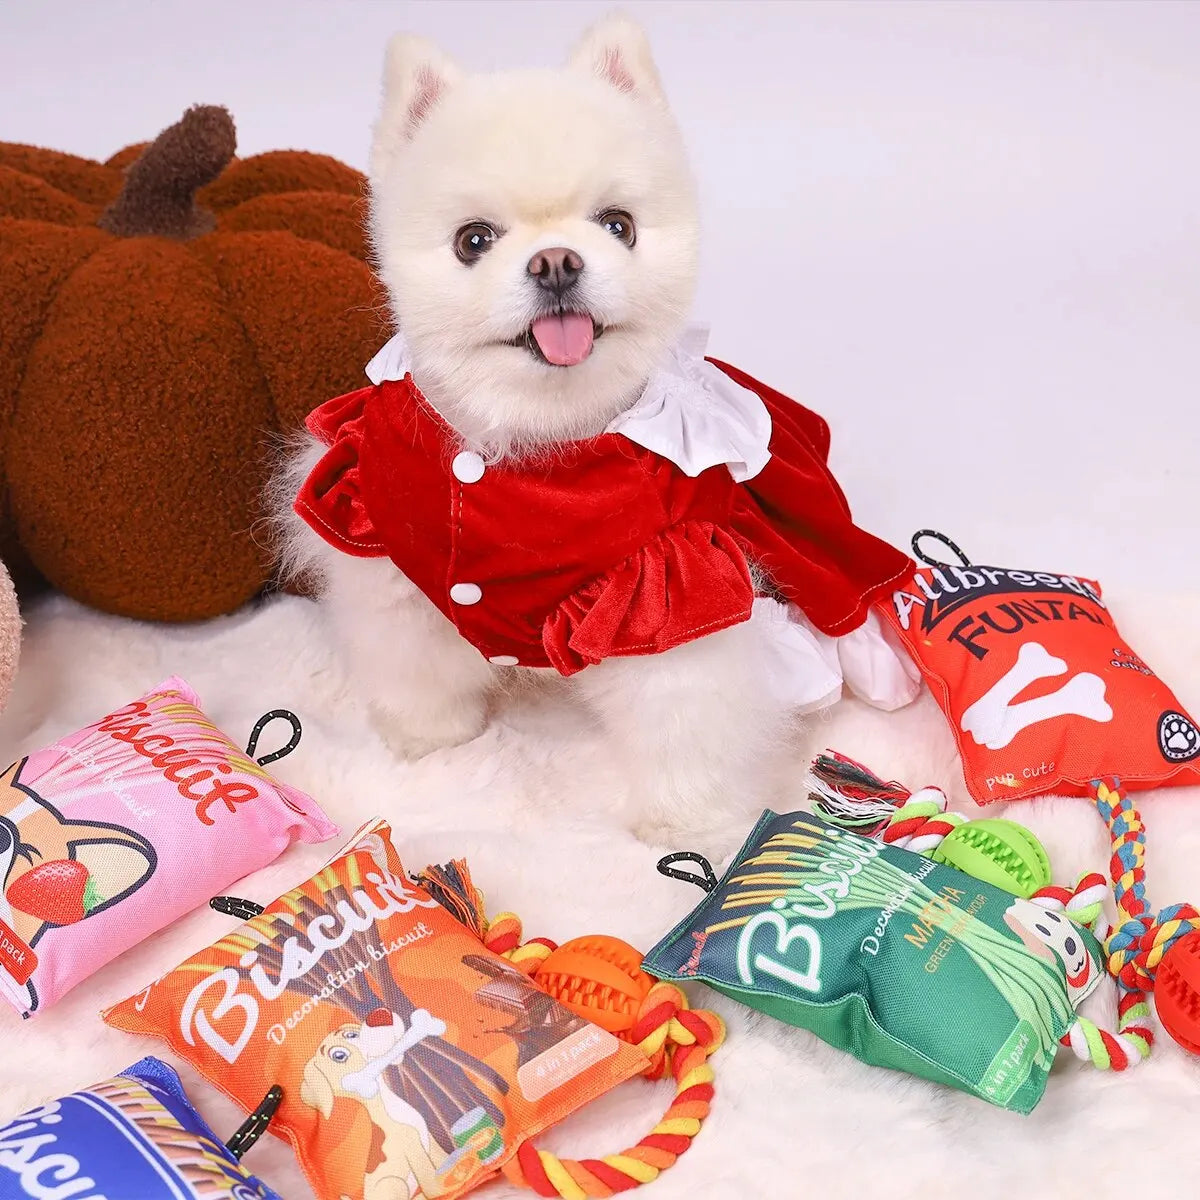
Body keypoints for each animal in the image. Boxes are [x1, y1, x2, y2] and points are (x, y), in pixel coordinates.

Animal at [278, 14, 916, 840]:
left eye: (620, 225)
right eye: (473, 240)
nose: (556, 262)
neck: (530, 441)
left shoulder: (669, 593)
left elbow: (685, 727)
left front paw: (687, 825)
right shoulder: (389, 551)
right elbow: (417, 673)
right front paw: (431, 744)